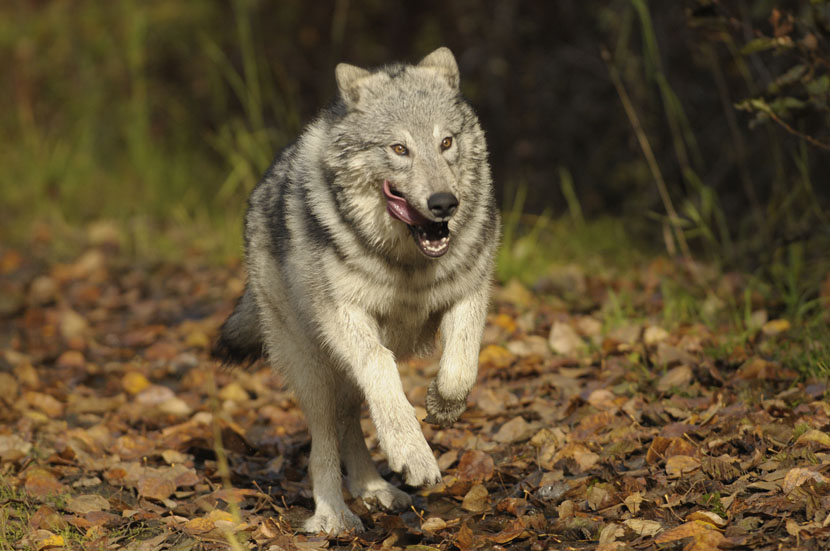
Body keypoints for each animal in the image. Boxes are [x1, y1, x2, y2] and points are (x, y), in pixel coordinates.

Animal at [214, 47, 500, 536]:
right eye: (399, 149)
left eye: (446, 143)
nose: (444, 203)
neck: (408, 264)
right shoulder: (344, 315)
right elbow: (382, 369)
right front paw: (411, 452)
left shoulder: (469, 292)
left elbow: (460, 367)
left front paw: (442, 408)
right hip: (311, 366)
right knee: (324, 443)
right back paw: (332, 513)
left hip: (339, 374)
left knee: (351, 421)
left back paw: (374, 488)